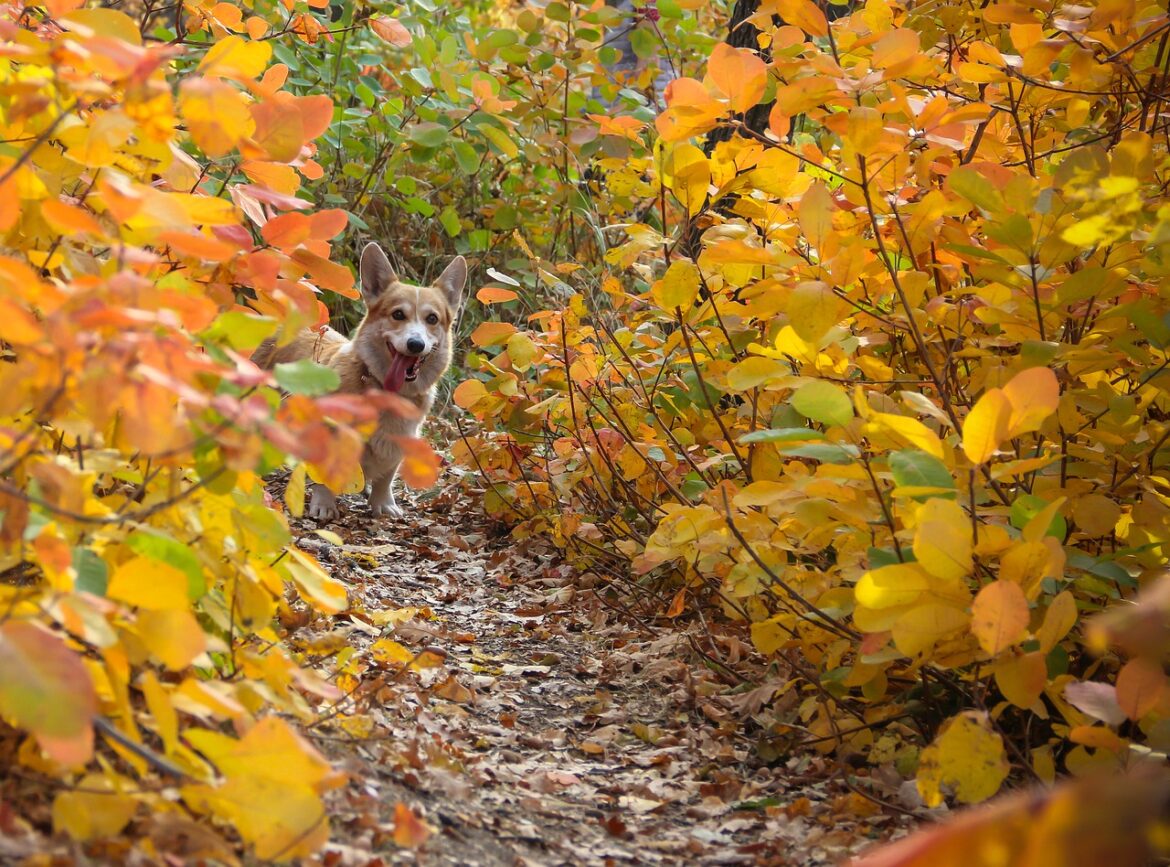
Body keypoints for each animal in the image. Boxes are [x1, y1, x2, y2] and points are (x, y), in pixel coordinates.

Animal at [255, 239, 465, 517]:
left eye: (432, 319)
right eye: (398, 315)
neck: (385, 393)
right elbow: (326, 475)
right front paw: (324, 505)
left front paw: (383, 504)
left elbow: (386, 477)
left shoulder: (399, 443)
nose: (416, 344)